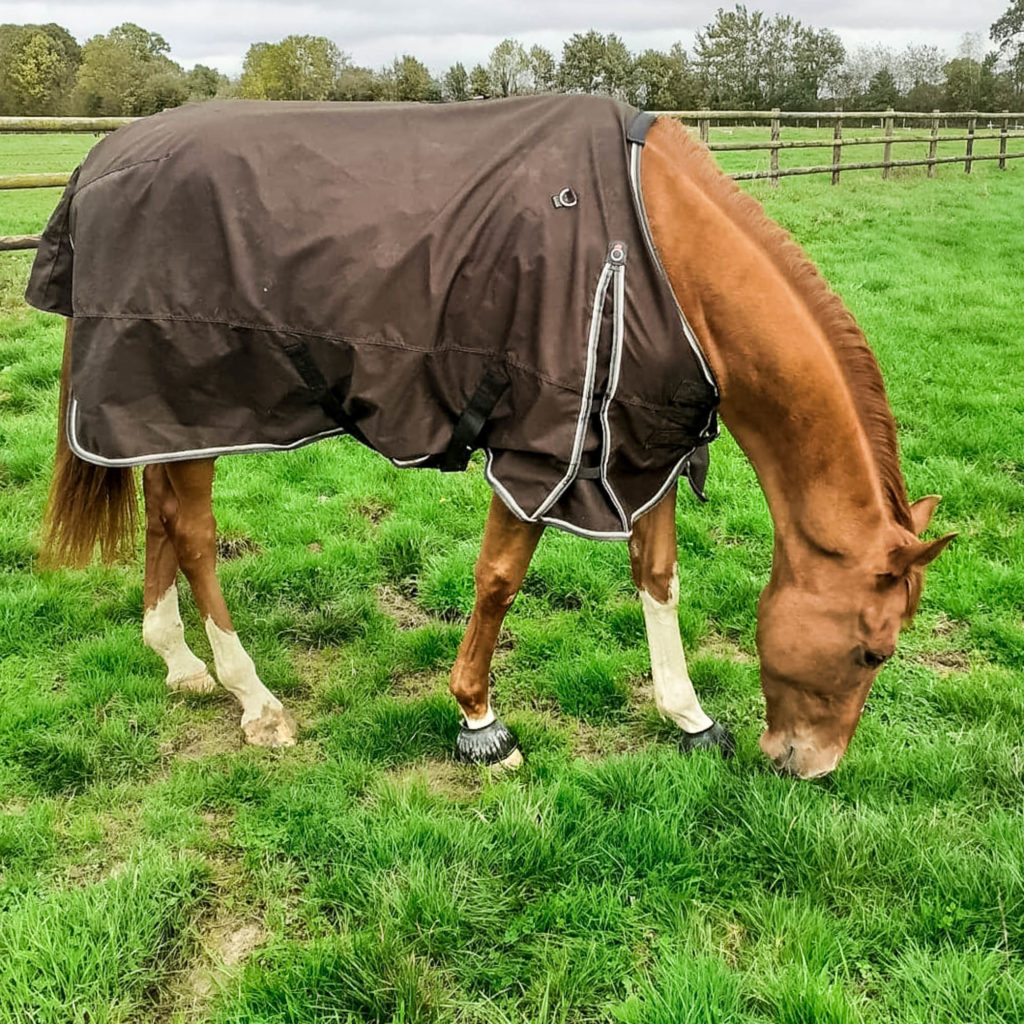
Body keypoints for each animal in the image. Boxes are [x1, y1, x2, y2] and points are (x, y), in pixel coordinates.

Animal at [29, 99, 950, 778]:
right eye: (872, 652)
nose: (809, 767)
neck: (659, 254)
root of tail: (101, 163)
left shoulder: (639, 444)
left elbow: (658, 578)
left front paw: (689, 716)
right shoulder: (545, 451)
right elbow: (500, 579)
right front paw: (480, 721)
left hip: (167, 415)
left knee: (160, 514)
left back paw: (179, 663)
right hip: (192, 397)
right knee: (193, 533)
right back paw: (253, 700)